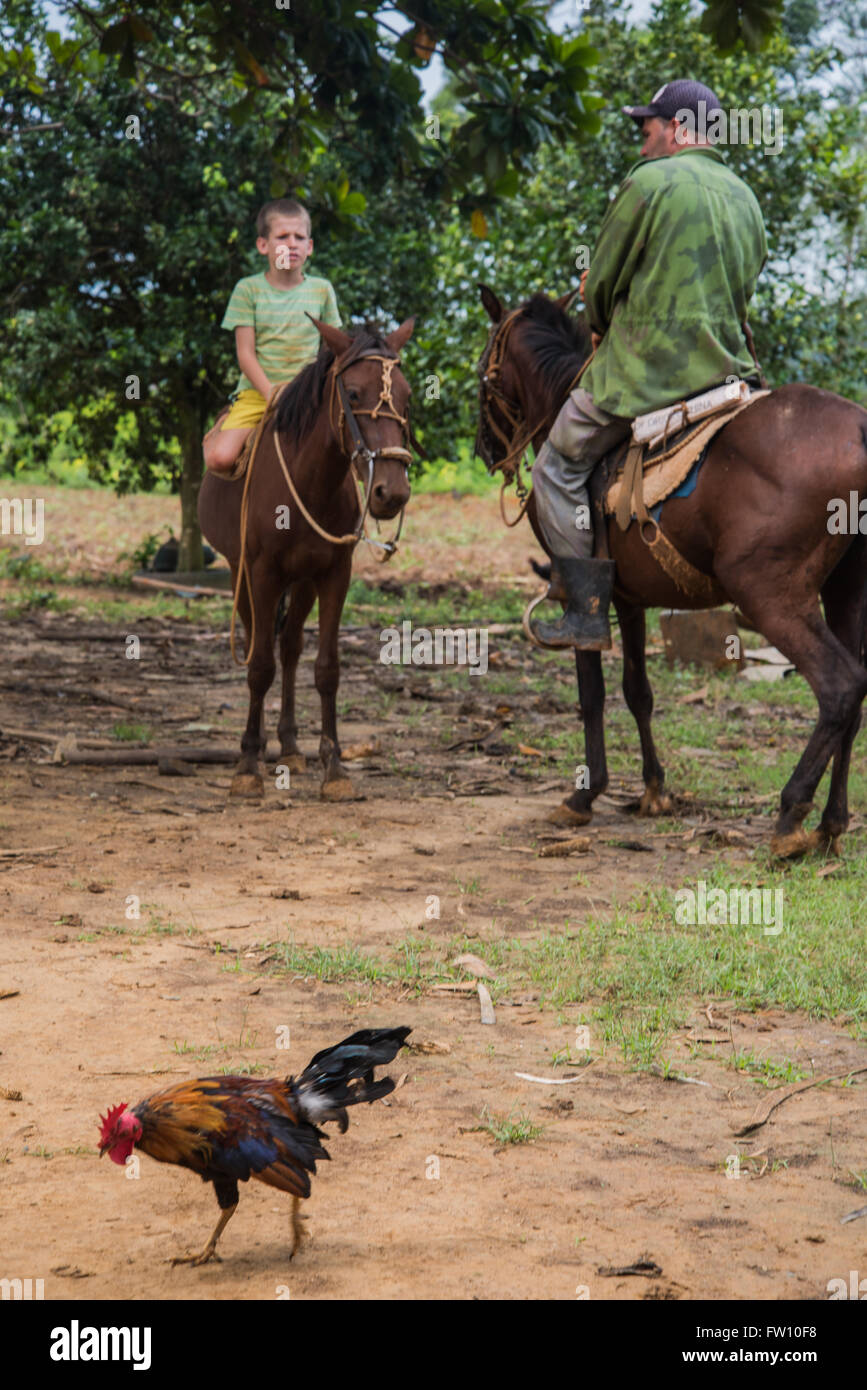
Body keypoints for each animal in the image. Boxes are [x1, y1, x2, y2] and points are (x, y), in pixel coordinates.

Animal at [198, 311, 414, 800]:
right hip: (242, 576)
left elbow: (326, 668)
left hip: (301, 582)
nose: (390, 492)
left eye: (408, 395)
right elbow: (259, 666)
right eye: (352, 394)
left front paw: (334, 767)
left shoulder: (334, 574)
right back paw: (261, 747)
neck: (308, 482)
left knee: (291, 645)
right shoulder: (260, 574)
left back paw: (291, 746)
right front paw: (247, 765)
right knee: (261, 644)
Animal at [477, 284, 867, 856]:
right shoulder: (627, 595)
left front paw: (586, 794)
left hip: (770, 595)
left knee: (840, 687)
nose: (484, 449)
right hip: (846, 590)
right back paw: (831, 823)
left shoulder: (579, 593)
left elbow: (591, 692)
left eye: (484, 372)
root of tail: (859, 428)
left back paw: (791, 814)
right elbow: (638, 691)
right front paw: (654, 790)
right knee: (857, 695)